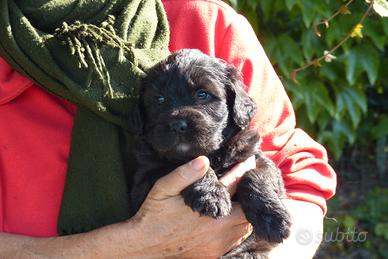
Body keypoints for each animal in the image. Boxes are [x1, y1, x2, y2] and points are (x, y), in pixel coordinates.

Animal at [127, 49, 292, 258]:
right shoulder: (145, 180)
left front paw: (273, 218)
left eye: (202, 94)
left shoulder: (255, 157)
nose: (178, 125)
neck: (213, 154)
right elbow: (181, 164)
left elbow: (256, 174)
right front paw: (211, 194)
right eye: (159, 100)